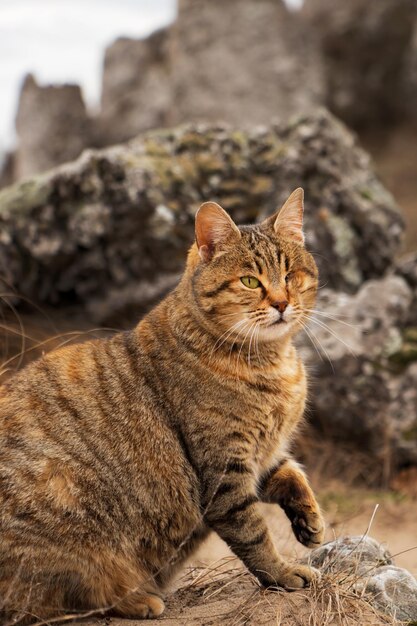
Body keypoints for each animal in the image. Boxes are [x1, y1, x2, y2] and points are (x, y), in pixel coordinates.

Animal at [0, 185, 324, 620]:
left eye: (290, 275)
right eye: (250, 281)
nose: (281, 303)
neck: (273, 363)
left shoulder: (264, 454)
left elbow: (292, 473)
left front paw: (310, 520)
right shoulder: (225, 471)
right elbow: (254, 533)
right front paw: (282, 572)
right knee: (53, 600)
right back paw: (138, 600)